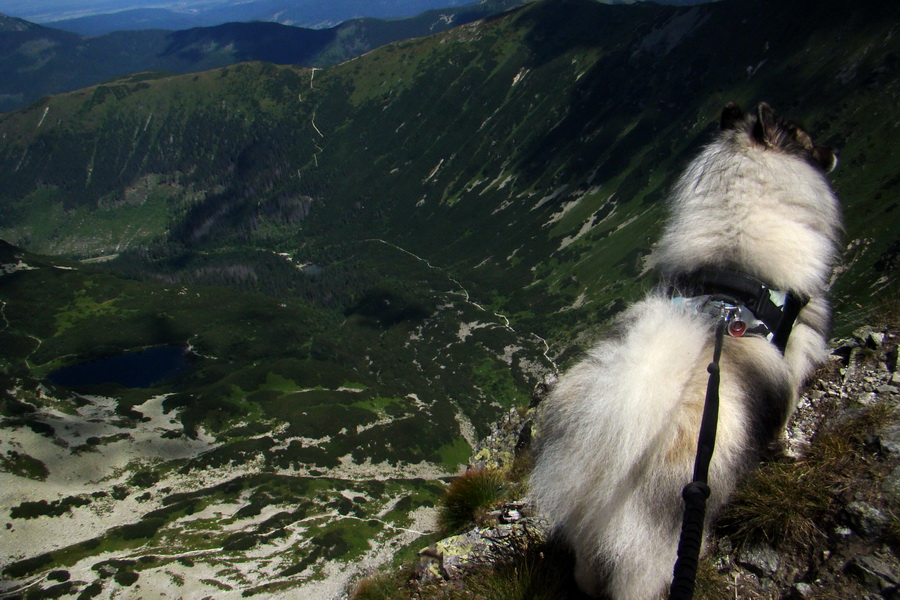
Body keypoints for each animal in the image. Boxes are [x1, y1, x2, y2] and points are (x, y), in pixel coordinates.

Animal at [532, 103, 840, 600]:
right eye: (803, 135)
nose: (833, 151)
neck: (735, 257)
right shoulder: (792, 358)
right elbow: (785, 414)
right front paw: (787, 450)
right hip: (656, 548)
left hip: (589, 540)